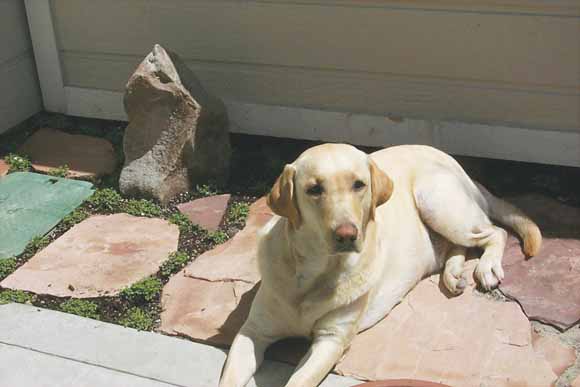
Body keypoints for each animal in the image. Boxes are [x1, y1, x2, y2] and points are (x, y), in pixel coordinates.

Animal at [218, 145, 540, 387]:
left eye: (359, 185)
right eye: (314, 189)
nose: (347, 234)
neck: (313, 272)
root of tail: (459, 167)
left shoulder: (331, 341)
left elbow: (298, 381)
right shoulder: (253, 331)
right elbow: (229, 378)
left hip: (436, 200)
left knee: (494, 233)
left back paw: (486, 268)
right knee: (457, 245)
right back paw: (452, 275)